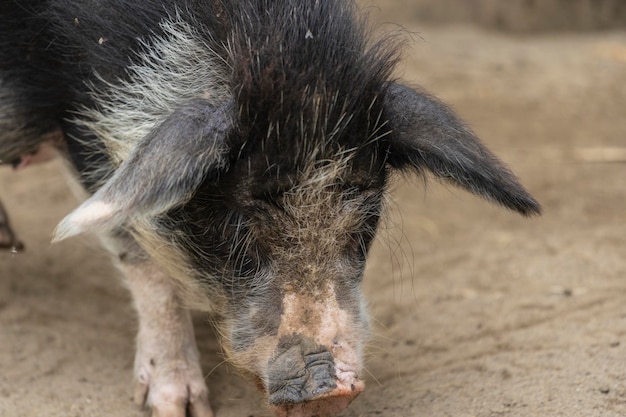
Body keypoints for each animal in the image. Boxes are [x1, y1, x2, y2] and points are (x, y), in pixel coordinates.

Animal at [0, 0, 540, 416]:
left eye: (365, 223)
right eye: (238, 225)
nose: (328, 389)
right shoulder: (84, 122)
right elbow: (140, 253)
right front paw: (177, 408)